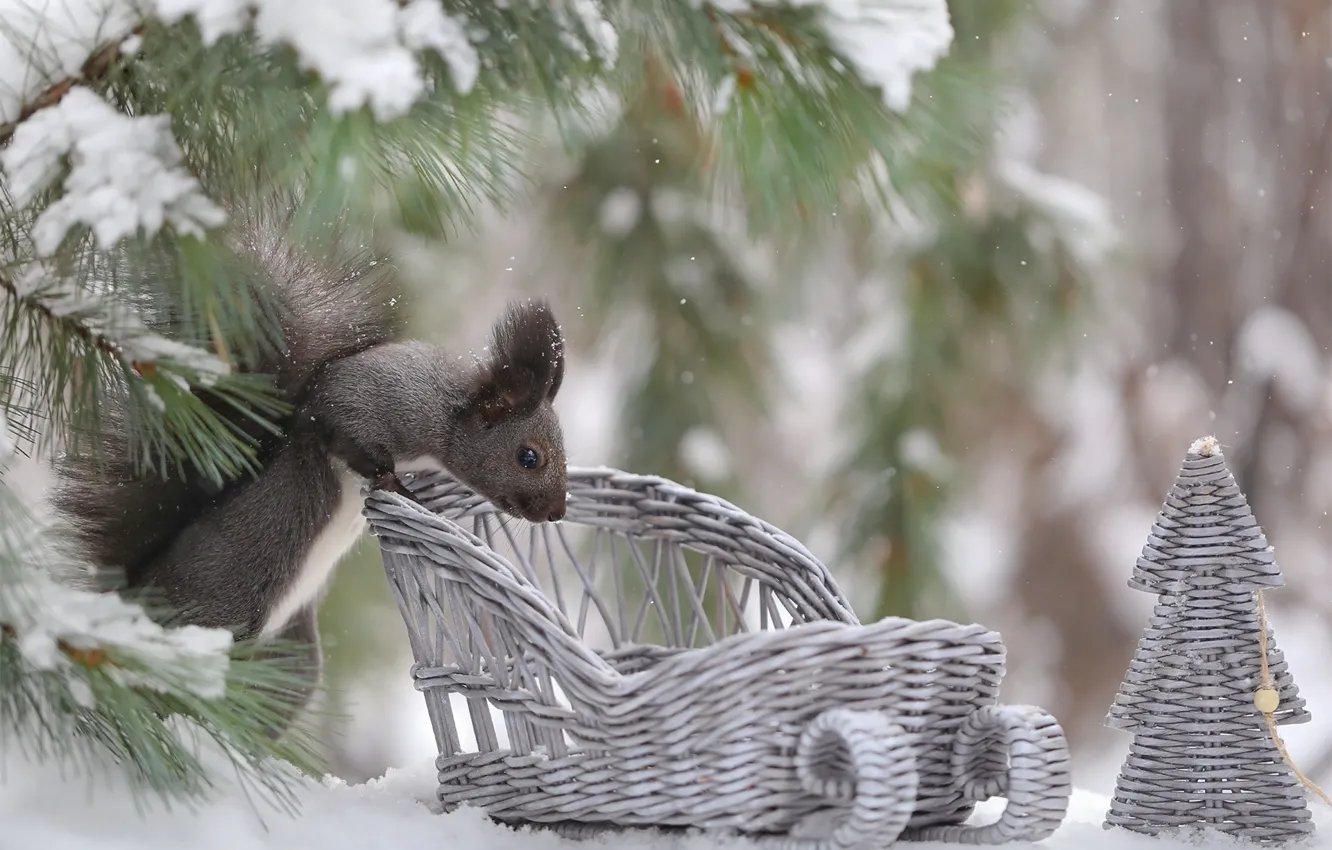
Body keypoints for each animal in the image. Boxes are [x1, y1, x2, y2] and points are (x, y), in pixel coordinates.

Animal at [48, 201, 562, 735]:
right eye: (529, 456)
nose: (557, 510)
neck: (449, 410)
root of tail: (134, 595)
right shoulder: (376, 401)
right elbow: (345, 433)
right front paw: (394, 483)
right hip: (223, 605)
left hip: (291, 658)